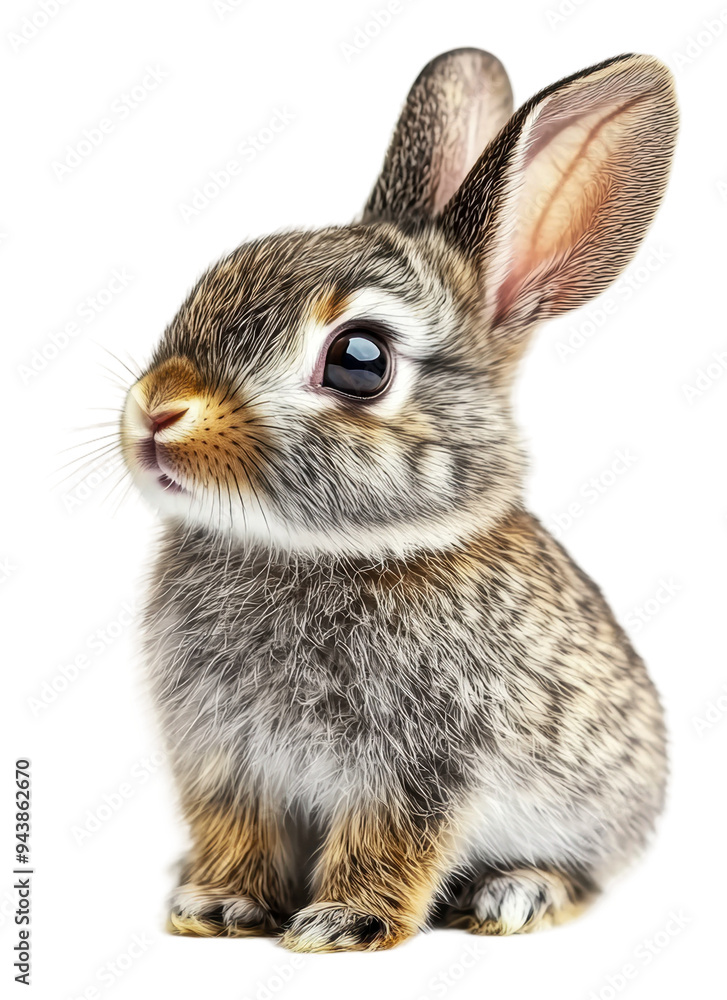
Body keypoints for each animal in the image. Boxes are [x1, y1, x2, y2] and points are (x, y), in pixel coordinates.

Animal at [119, 49, 678, 952]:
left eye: (358, 359)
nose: (156, 412)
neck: (323, 552)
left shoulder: (422, 763)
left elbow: (390, 841)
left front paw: (342, 923)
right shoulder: (223, 758)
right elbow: (235, 831)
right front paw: (216, 906)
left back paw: (515, 895)